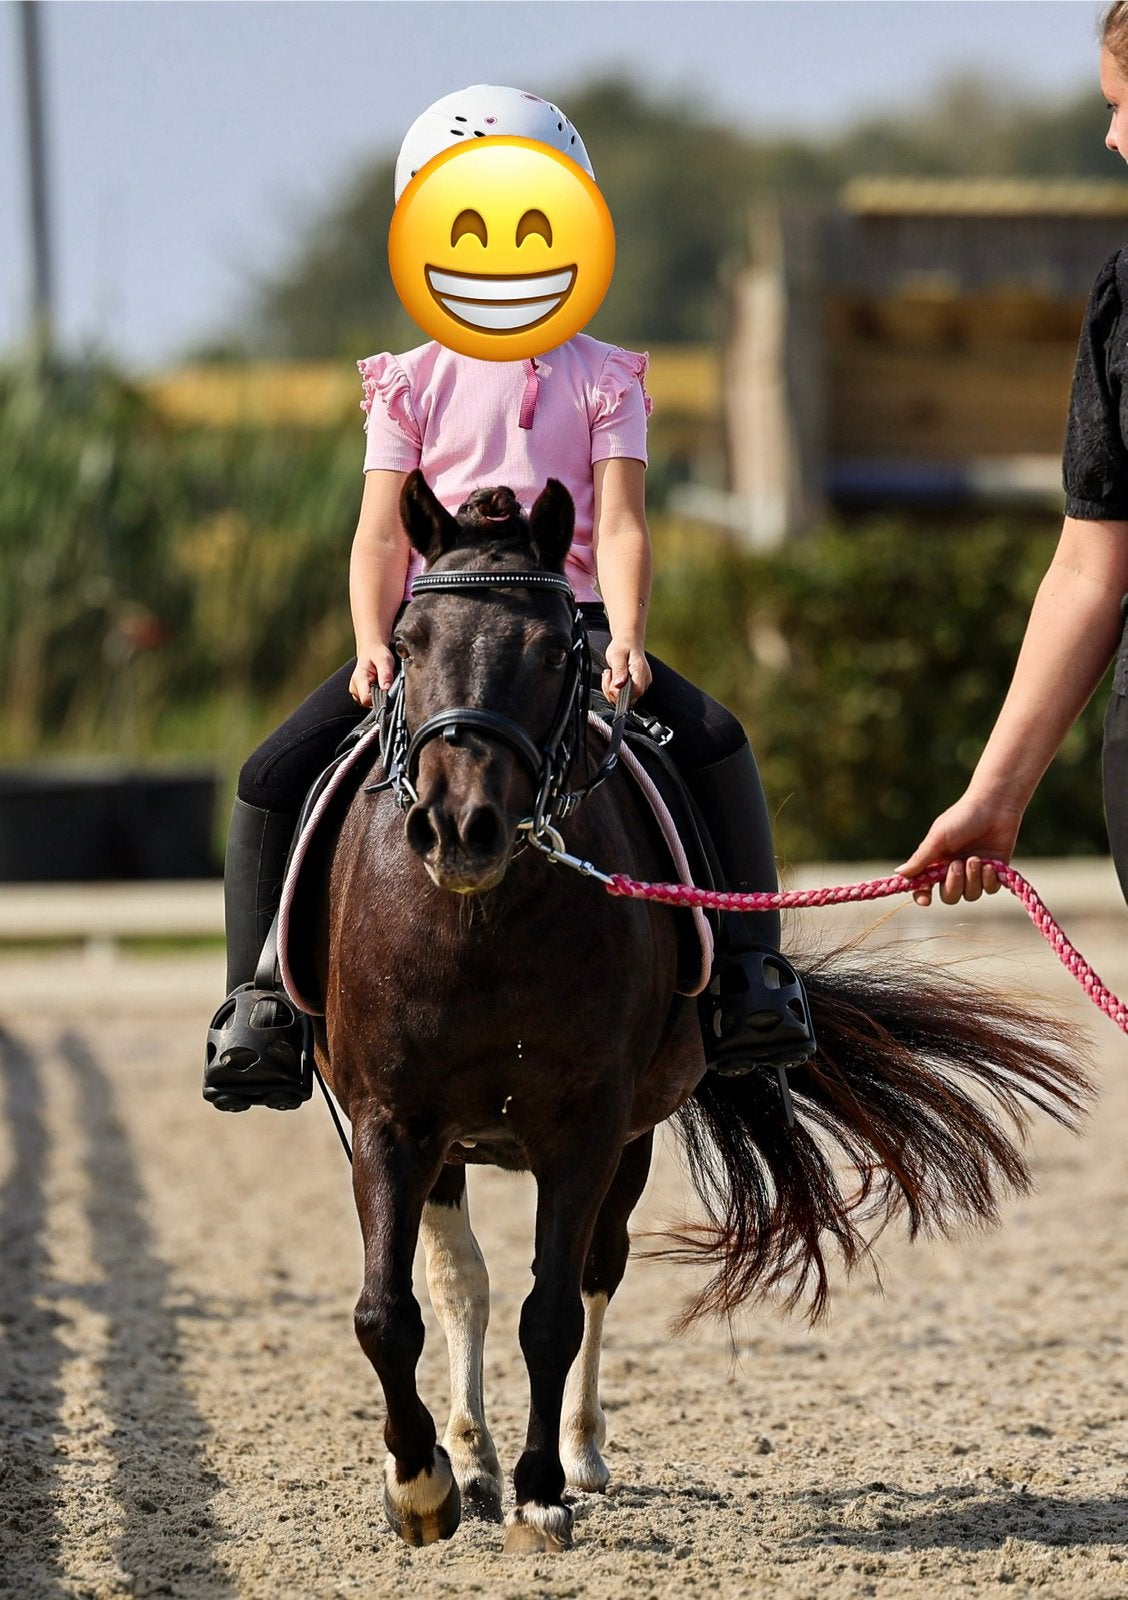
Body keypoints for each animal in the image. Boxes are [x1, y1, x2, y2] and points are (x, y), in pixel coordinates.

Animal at [311, 469, 1089, 1554]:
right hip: (450, 1145)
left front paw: (540, 1491)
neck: (483, 921)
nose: (463, 828)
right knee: (459, 1278)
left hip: (627, 1137)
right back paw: (467, 1456)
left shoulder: (587, 1125)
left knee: (595, 1272)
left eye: (553, 651)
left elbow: (552, 1308)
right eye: (408, 644)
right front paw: (422, 1485)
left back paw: (579, 1455)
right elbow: (389, 1310)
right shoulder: (388, 1120)